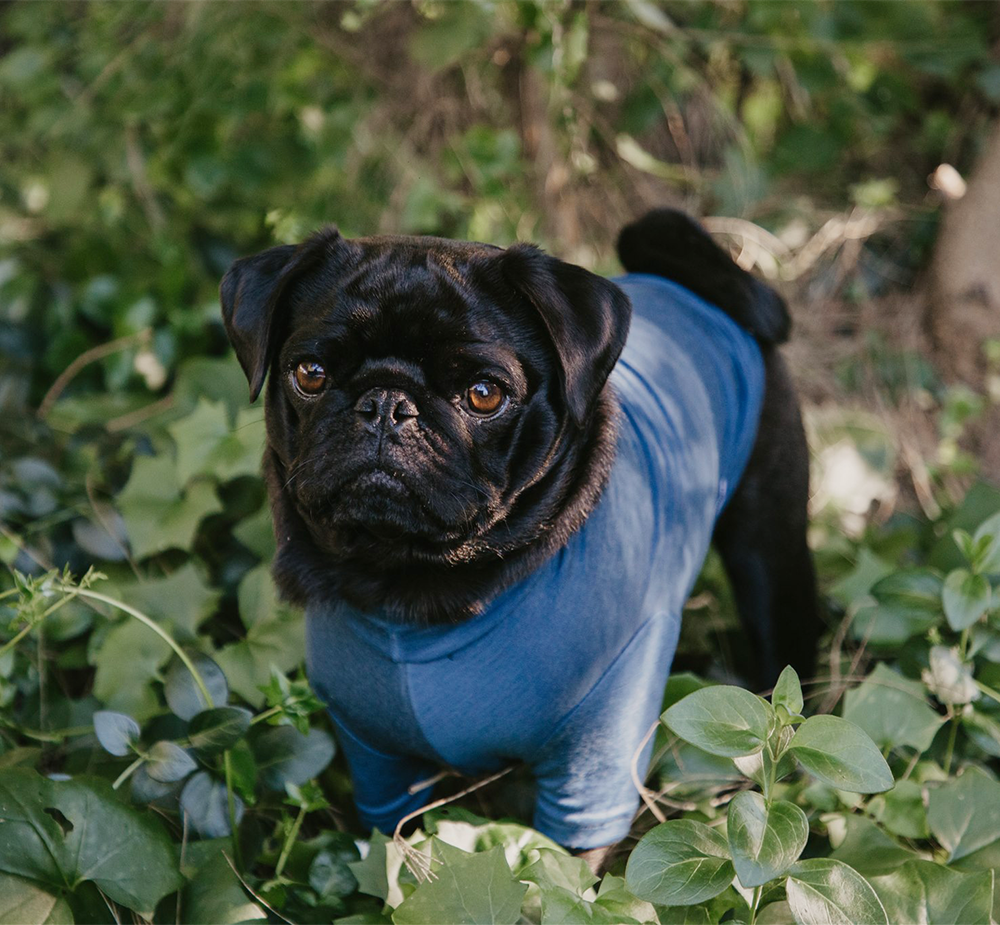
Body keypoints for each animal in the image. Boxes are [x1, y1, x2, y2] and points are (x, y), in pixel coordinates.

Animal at [223, 209, 816, 860]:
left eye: (484, 394)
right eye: (310, 373)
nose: (387, 403)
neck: (412, 586)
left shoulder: (592, 769)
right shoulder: (378, 764)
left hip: (769, 558)